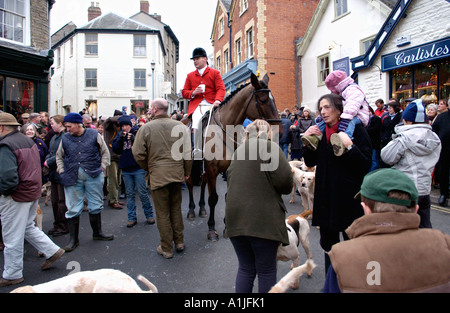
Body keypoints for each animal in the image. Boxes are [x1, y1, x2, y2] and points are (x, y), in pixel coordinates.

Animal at [183, 72, 282, 240]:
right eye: (263, 100)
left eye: (274, 98)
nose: (279, 131)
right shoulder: (212, 170)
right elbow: (213, 198)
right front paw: (212, 229)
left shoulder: (227, 168)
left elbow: (226, 196)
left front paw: (226, 226)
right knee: (190, 184)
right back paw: (191, 210)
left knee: (202, 184)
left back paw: (201, 208)